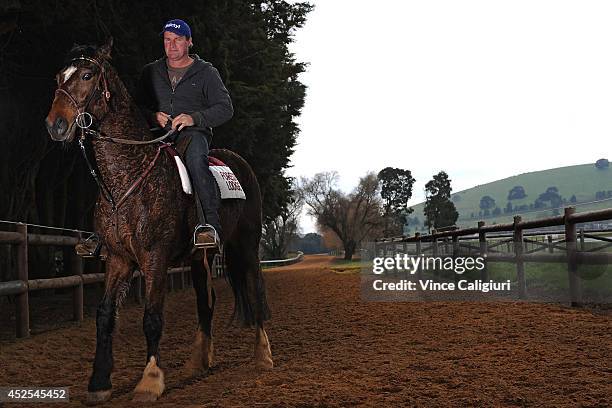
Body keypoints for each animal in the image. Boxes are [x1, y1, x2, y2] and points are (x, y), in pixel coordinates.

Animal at [43, 39, 272, 404]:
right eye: (58, 77)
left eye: (87, 75)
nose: (56, 125)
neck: (126, 176)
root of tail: (239, 162)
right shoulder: (119, 259)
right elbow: (104, 316)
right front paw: (99, 383)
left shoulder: (155, 257)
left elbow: (151, 317)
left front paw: (150, 381)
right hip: (201, 256)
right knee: (206, 302)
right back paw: (198, 362)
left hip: (247, 244)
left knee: (256, 290)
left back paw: (263, 355)